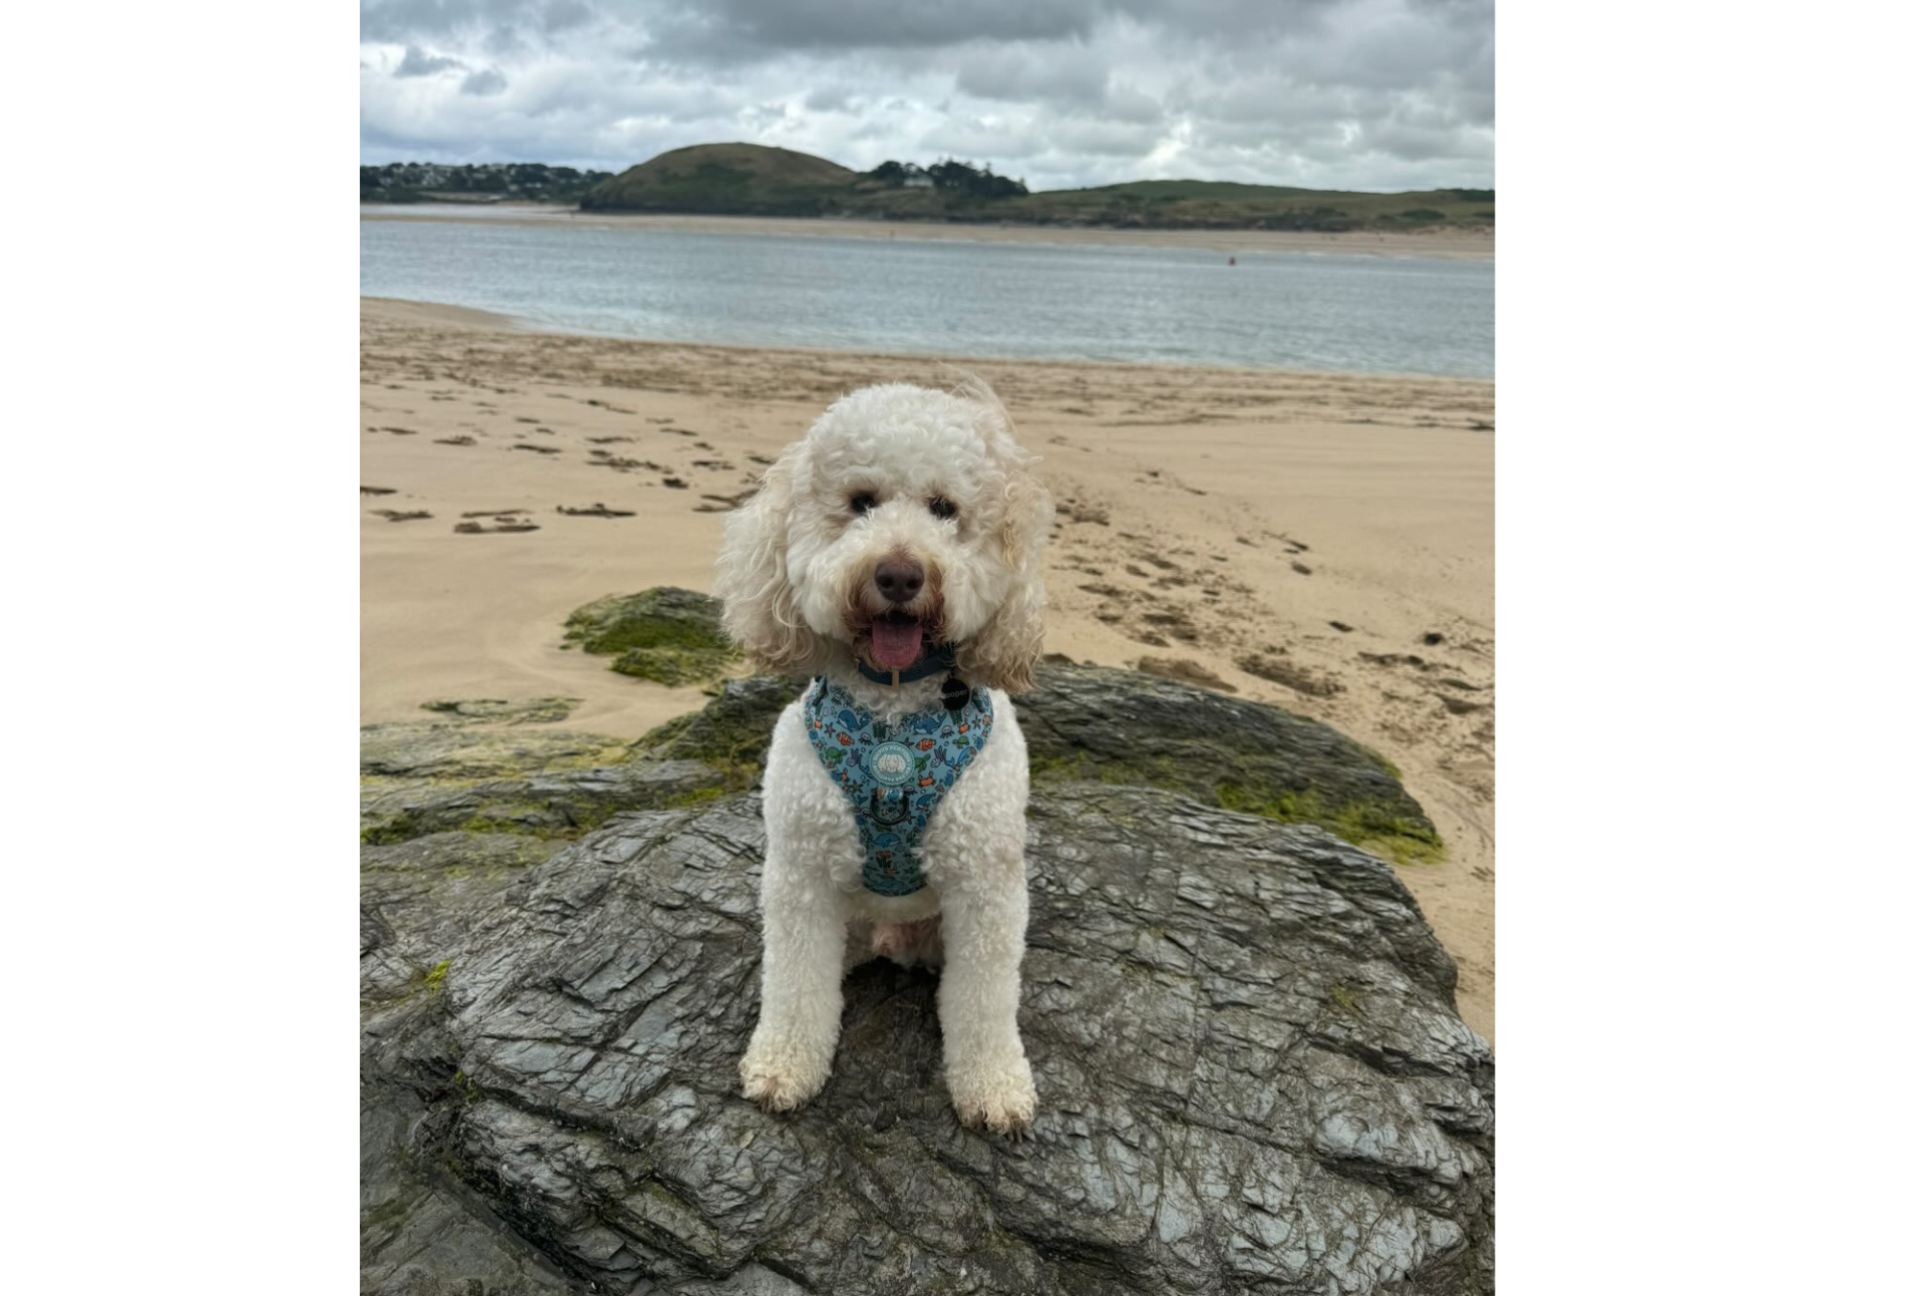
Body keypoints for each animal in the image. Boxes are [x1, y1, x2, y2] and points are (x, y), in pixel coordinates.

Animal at [718, 378, 1059, 1136]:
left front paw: (992, 1084)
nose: (900, 574)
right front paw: (785, 1064)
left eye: (945, 509)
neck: (895, 719)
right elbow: (794, 983)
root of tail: (890, 937)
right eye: (861, 501)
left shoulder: (986, 889)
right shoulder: (801, 877)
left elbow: (986, 1000)